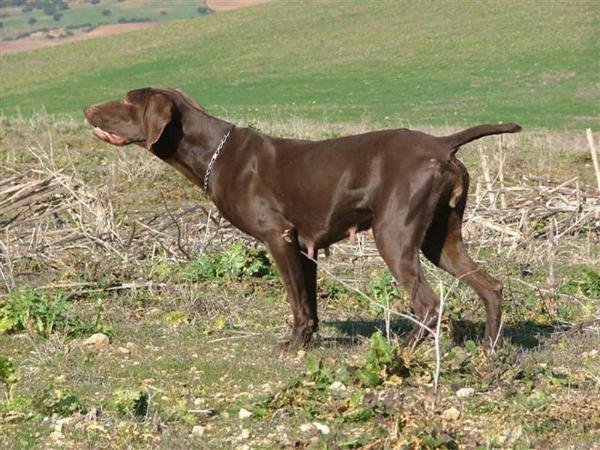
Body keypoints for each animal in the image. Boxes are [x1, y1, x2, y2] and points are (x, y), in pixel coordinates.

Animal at [84, 87, 520, 348]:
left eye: (128, 101)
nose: (86, 108)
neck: (214, 152)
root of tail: (441, 144)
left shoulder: (279, 237)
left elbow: (296, 302)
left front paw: (293, 345)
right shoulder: (305, 245)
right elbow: (309, 302)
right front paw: (307, 343)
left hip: (394, 236)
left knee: (428, 304)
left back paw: (405, 351)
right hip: (441, 240)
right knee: (491, 287)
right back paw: (491, 348)